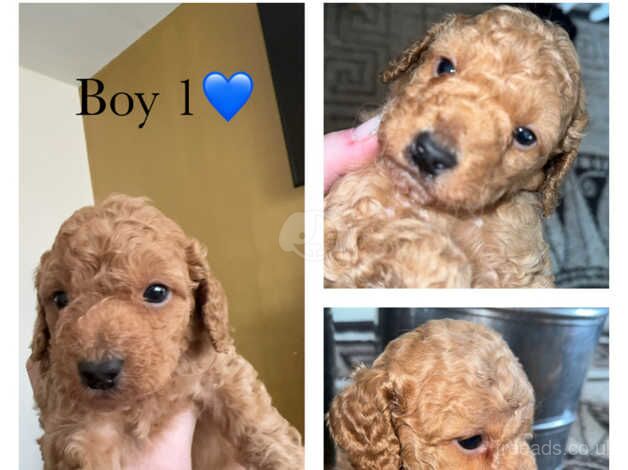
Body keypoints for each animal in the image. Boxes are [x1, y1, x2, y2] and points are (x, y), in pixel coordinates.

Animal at [28, 195, 302, 470]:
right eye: (59, 298)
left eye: (156, 292)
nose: (98, 373)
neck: (150, 397)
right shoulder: (75, 425)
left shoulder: (218, 368)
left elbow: (253, 415)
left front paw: (290, 459)